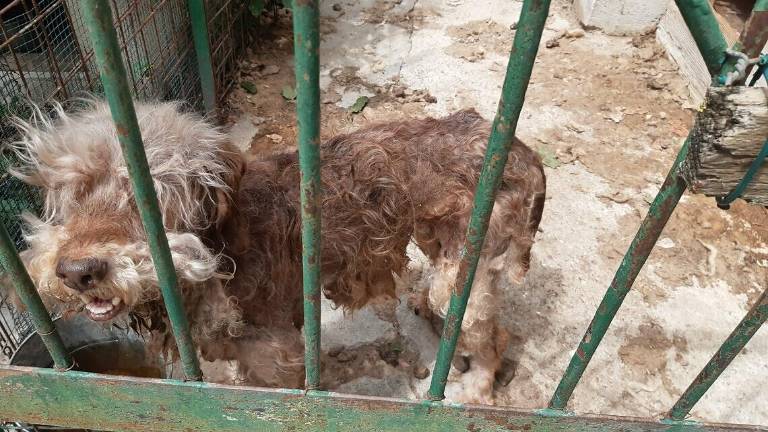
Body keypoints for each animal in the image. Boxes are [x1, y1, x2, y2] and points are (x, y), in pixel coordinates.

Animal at [9, 99, 544, 404]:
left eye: (149, 196)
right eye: (69, 192)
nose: (77, 271)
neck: (218, 259)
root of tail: (523, 150)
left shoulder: (278, 361)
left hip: (466, 270)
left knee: (494, 336)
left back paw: (476, 390)